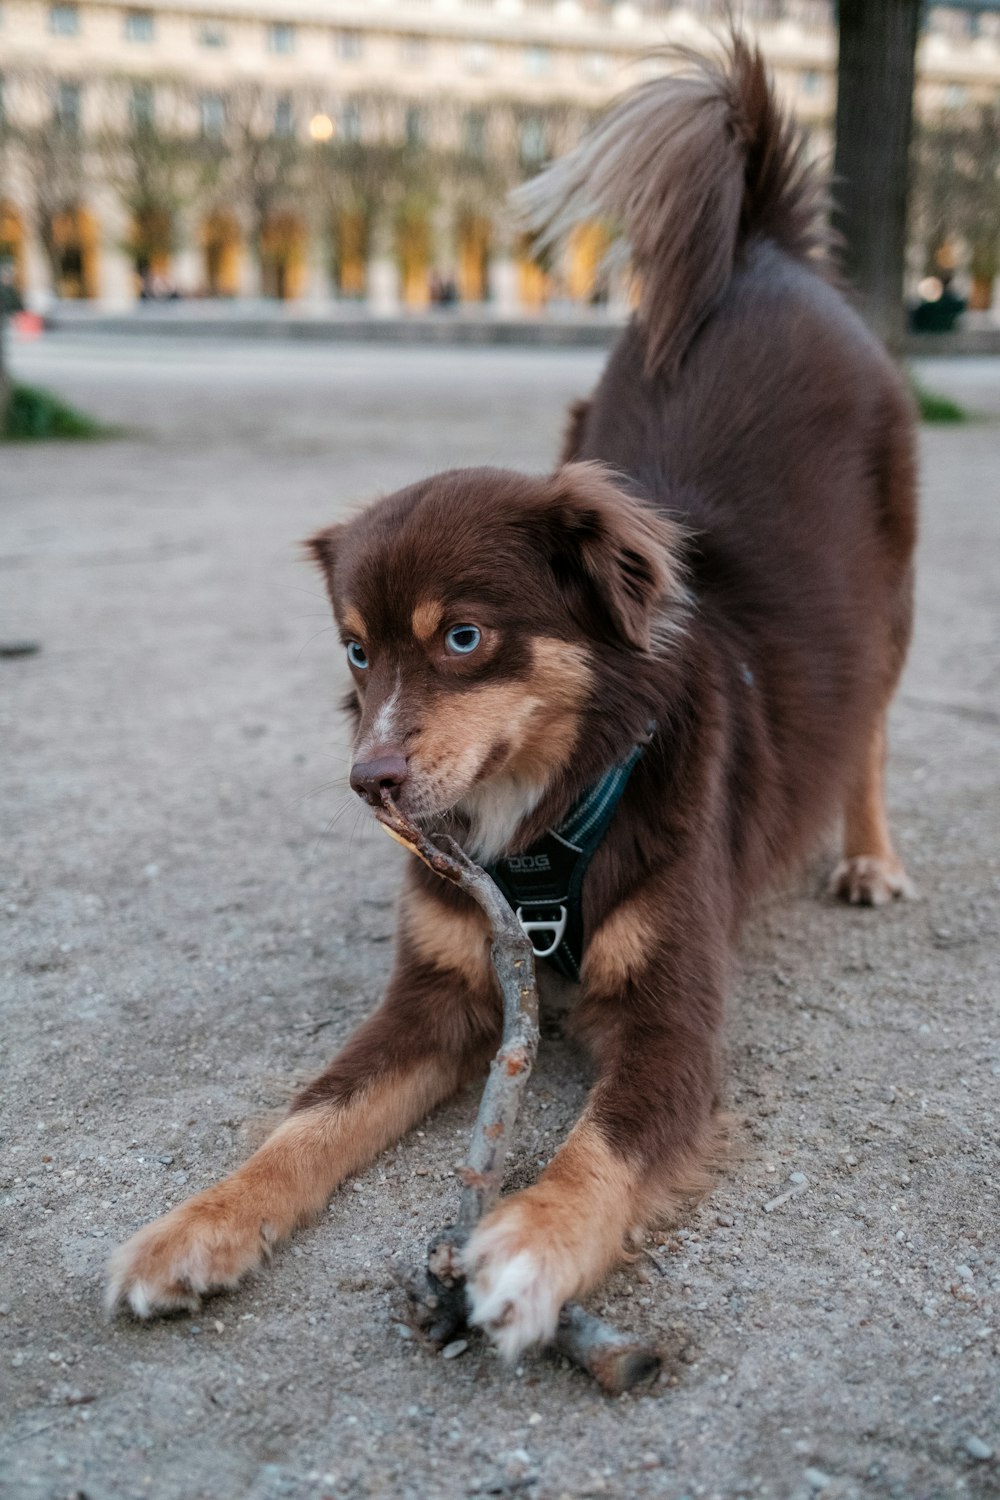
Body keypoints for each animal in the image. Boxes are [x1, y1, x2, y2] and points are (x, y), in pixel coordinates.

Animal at [107, 35, 917, 1356]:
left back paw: (867, 856)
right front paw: (197, 1227)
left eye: (465, 637)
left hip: (890, 599)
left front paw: (527, 1246)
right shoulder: (436, 996)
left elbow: (601, 1147)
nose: (369, 783)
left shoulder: (676, 1024)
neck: (543, 831)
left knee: (871, 733)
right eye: (354, 652)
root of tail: (761, 252)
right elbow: (308, 1116)